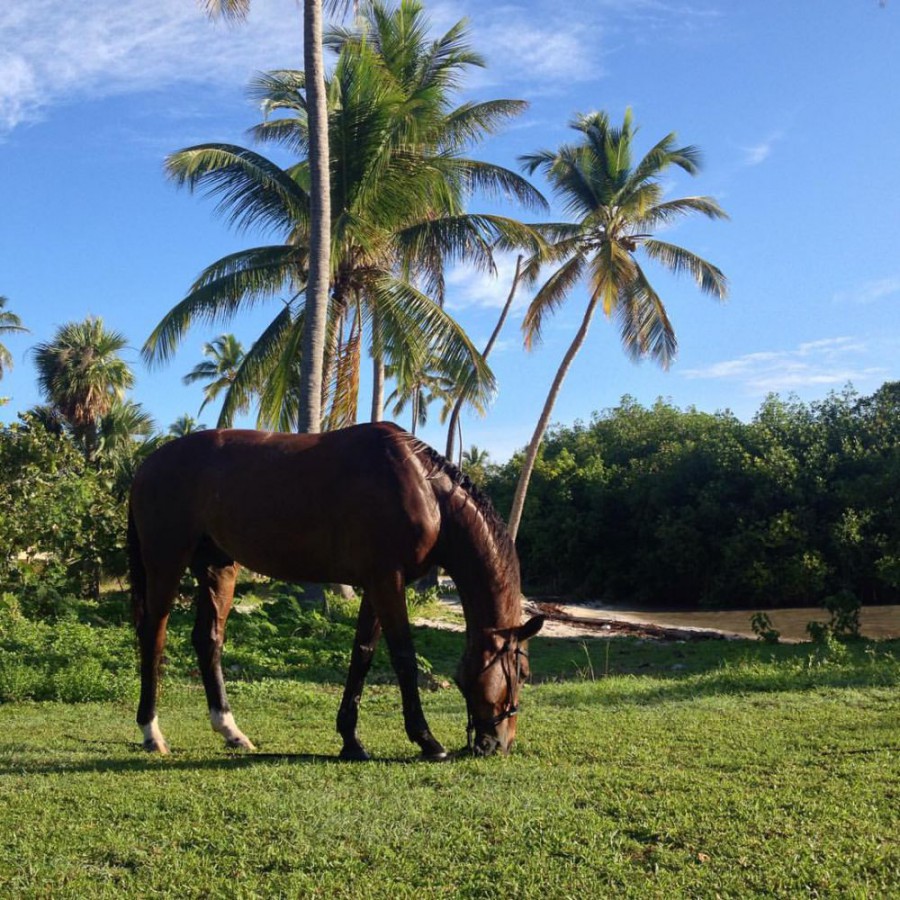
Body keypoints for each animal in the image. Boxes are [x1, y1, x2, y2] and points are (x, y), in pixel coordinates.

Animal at [129, 422, 544, 760]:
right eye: (522, 673)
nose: (500, 744)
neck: (424, 488)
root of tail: (147, 465)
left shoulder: (376, 585)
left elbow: (362, 655)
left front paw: (351, 740)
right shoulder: (388, 581)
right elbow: (404, 658)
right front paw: (427, 740)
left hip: (218, 568)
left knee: (208, 640)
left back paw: (231, 731)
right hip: (166, 563)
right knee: (154, 637)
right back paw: (152, 733)